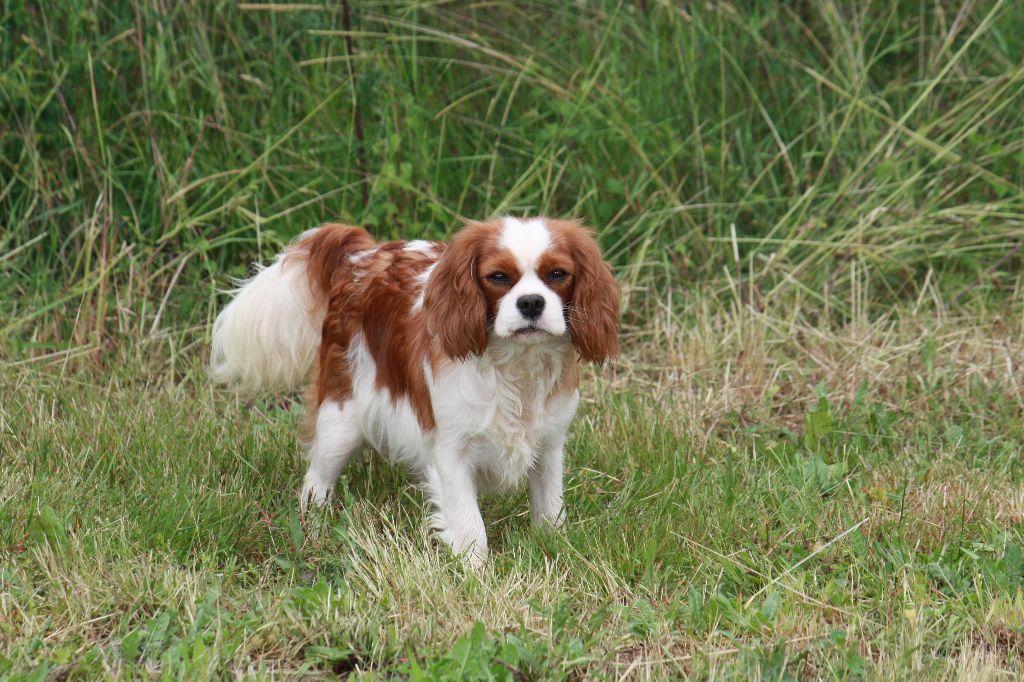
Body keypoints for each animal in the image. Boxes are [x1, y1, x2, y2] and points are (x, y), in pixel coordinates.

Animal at [211, 215, 618, 561]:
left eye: (558, 274)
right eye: (499, 277)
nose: (531, 302)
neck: (517, 366)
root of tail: (362, 255)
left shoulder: (549, 445)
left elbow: (550, 508)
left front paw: (555, 549)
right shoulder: (452, 452)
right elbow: (470, 526)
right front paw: (476, 576)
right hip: (341, 418)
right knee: (317, 477)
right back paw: (313, 522)